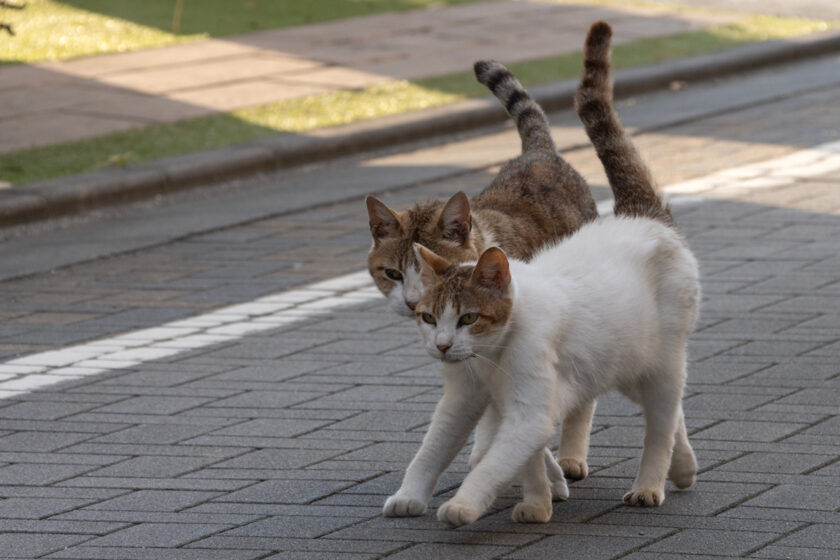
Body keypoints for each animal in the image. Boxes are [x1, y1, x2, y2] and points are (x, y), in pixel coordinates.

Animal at [384, 213, 700, 524]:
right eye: (428, 318)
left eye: (469, 318)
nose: (442, 345)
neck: (492, 354)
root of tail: (652, 224)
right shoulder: (468, 398)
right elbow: (435, 448)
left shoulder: (530, 411)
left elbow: (492, 464)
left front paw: (463, 505)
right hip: (621, 367)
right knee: (674, 412)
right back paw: (683, 466)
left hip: (660, 367)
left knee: (661, 425)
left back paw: (649, 486)